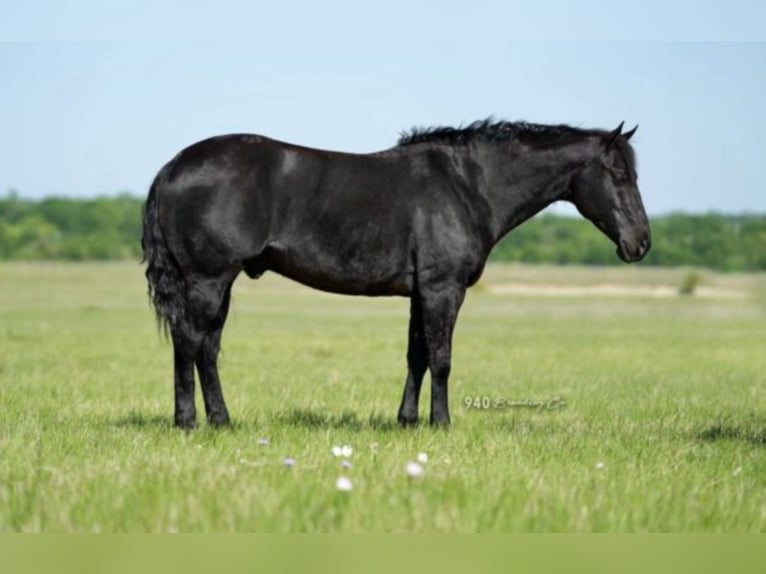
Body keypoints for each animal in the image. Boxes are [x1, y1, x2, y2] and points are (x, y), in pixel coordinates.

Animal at [141, 119, 652, 430]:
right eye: (618, 173)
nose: (640, 243)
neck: (467, 184)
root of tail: (173, 167)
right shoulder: (443, 290)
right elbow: (442, 358)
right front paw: (441, 423)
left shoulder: (420, 292)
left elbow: (417, 356)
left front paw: (407, 421)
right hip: (208, 279)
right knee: (190, 343)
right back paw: (188, 422)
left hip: (219, 282)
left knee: (207, 348)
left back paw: (221, 421)